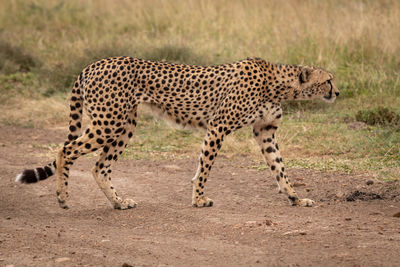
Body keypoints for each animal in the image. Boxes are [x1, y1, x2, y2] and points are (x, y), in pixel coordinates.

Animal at [16, 57, 340, 210]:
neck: (278, 84)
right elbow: (204, 168)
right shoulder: (218, 126)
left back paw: (119, 202)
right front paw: (199, 199)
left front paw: (296, 198)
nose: (338, 92)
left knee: (100, 166)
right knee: (65, 150)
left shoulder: (265, 132)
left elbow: (280, 168)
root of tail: (94, 63)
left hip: (124, 124)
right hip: (108, 121)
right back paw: (62, 197)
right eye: (328, 80)